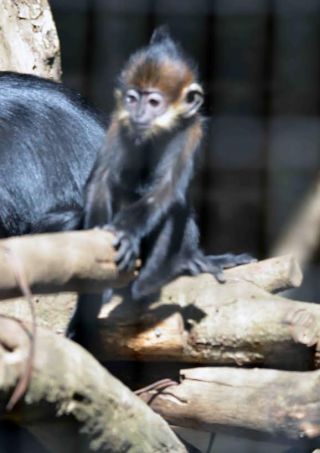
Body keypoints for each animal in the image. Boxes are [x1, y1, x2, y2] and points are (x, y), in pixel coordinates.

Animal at [67, 26, 252, 344]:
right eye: (132, 99)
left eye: (153, 102)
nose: (139, 114)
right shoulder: (120, 121)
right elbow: (102, 182)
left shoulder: (192, 130)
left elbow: (166, 192)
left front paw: (126, 233)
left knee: (176, 210)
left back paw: (160, 276)